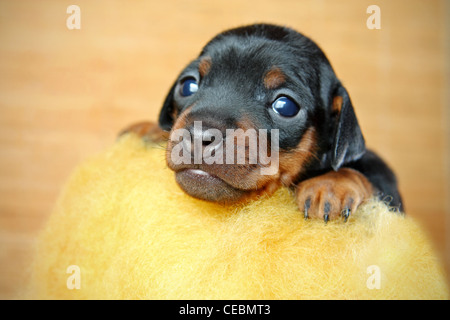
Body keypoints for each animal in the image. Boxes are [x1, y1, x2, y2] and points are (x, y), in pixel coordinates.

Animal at [124, 23, 404, 221]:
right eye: (188, 85)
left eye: (285, 106)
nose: (199, 135)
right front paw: (148, 130)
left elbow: (363, 174)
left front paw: (330, 184)